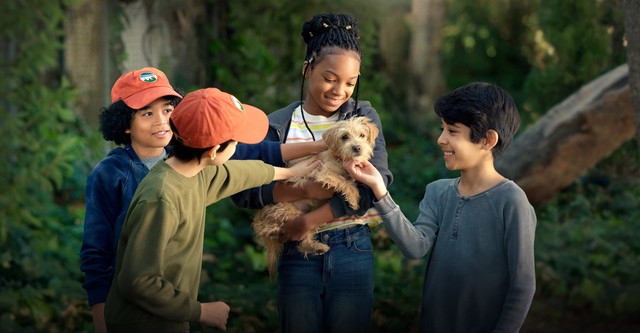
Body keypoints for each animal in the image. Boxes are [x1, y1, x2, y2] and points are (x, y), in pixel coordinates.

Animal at [251, 116, 380, 278]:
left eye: (362, 135)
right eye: (344, 137)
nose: (357, 148)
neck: (340, 160)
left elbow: (350, 181)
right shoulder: (324, 173)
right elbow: (344, 182)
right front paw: (354, 199)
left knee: (303, 242)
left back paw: (317, 247)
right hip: (289, 214)